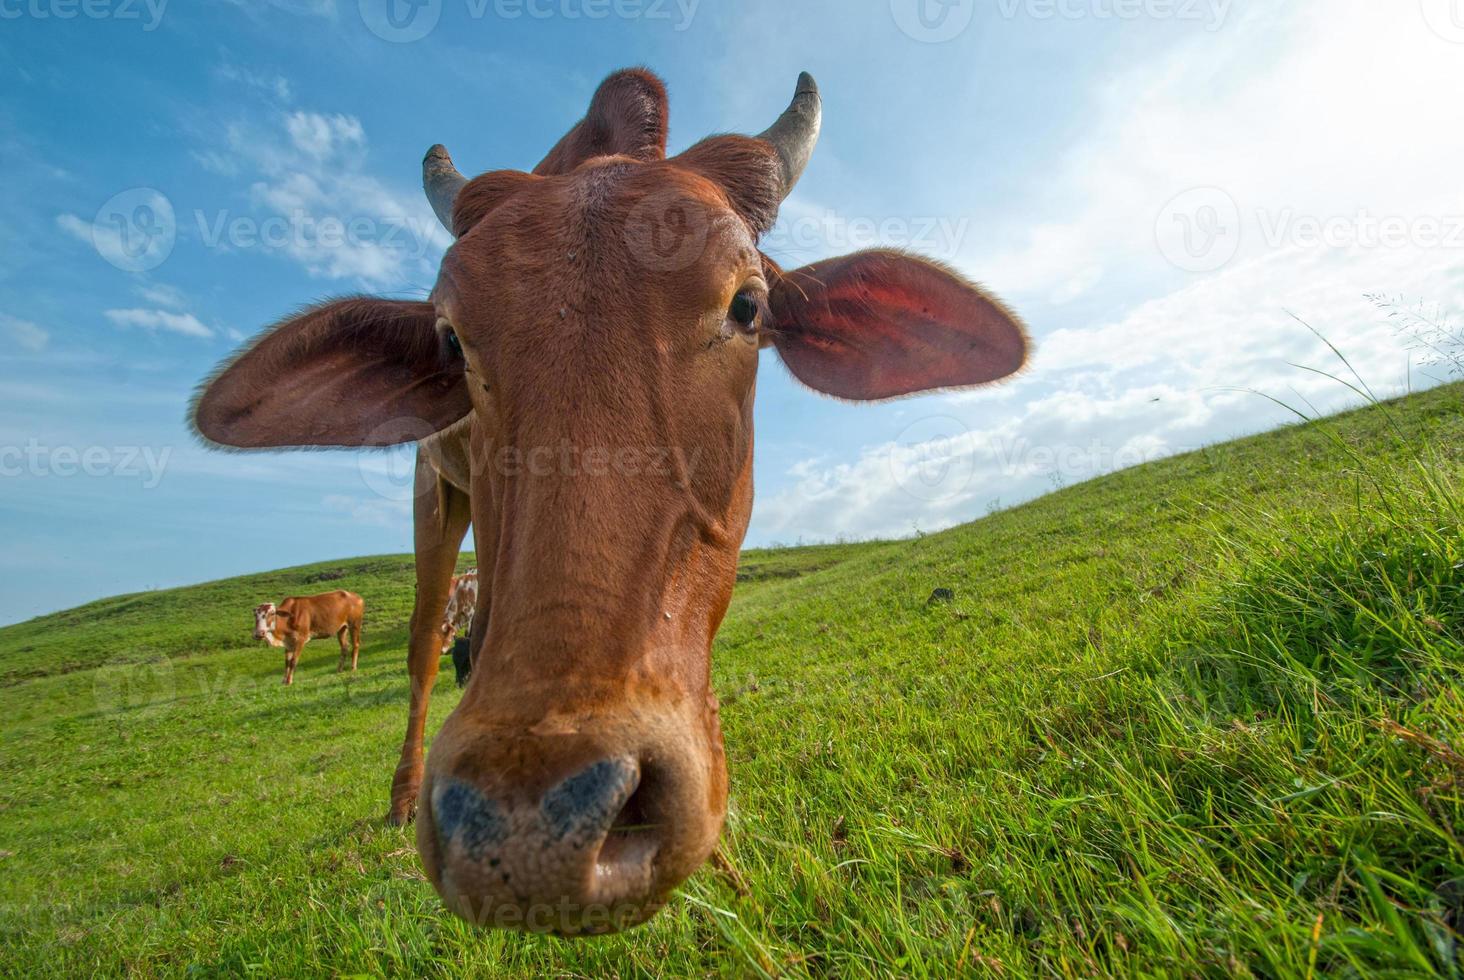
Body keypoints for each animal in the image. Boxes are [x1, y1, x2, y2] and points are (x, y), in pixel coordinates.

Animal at [191, 70, 1030, 931]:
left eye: (748, 306)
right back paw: (400, 791)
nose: (528, 828)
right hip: (436, 493)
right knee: (426, 641)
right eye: (452, 340)